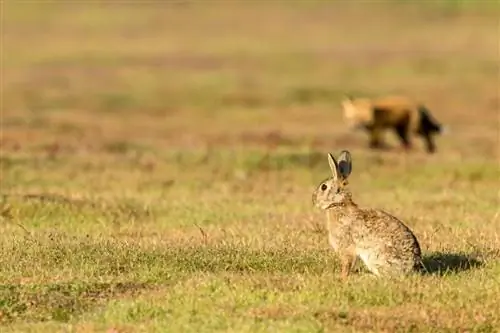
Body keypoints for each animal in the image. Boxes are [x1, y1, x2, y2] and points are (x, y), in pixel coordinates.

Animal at [312, 150, 422, 278]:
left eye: (324, 187)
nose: (313, 200)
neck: (338, 204)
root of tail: (412, 268)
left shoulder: (346, 247)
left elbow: (347, 263)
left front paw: (342, 277)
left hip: (376, 257)